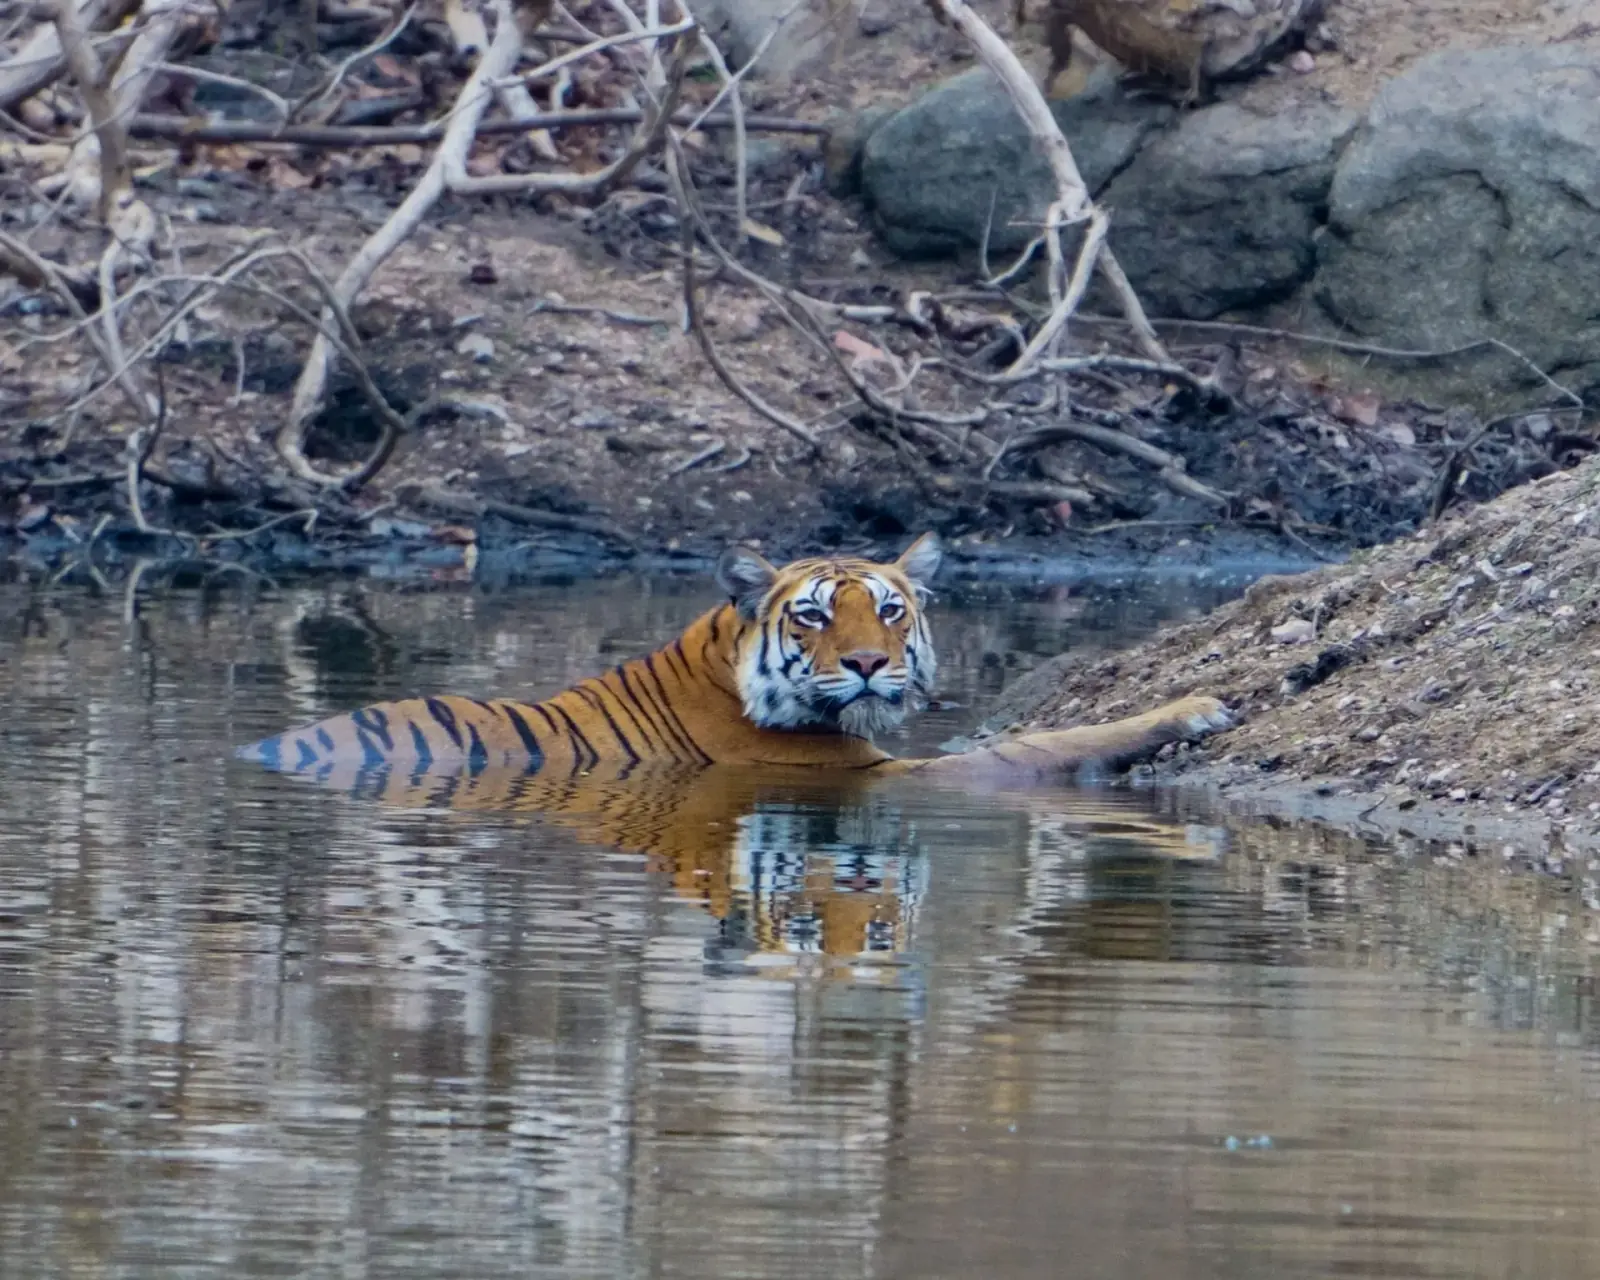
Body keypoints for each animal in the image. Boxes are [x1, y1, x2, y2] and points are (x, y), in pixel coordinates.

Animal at [239, 532, 1234, 786]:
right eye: (814, 617)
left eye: (889, 610)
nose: (867, 665)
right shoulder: (880, 776)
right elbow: (1035, 746)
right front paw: (1192, 707)